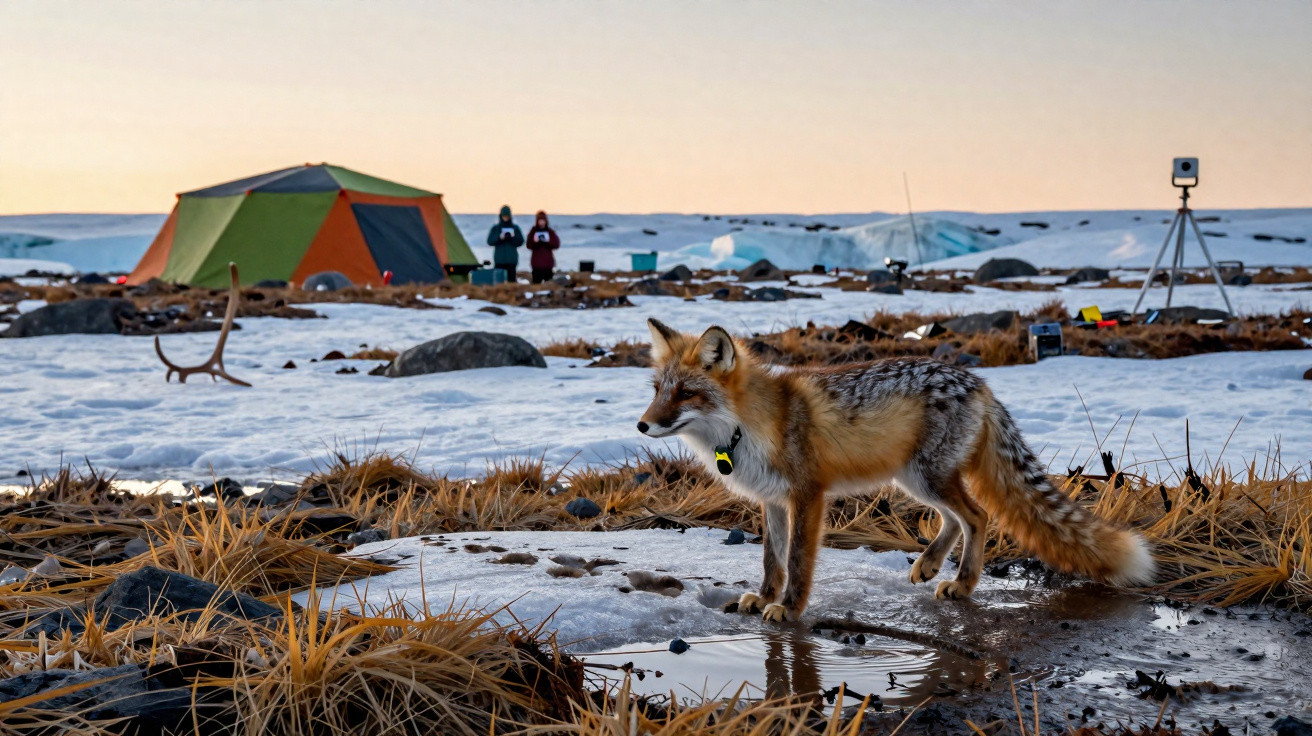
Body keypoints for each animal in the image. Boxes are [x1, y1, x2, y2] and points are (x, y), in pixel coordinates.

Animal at [637, 318, 1155, 623]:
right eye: (659, 389)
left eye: (687, 393)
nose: (642, 424)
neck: (750, 427)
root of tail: (979, 383)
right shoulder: (773, 501)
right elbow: (772, 561)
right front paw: (765, 598)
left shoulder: (808, 495)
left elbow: (798, 561)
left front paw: (788, 608)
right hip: (914, 478)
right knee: (958, 518)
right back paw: (930, 564)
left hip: (925, 476)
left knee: (978, 516)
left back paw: (964, 583)